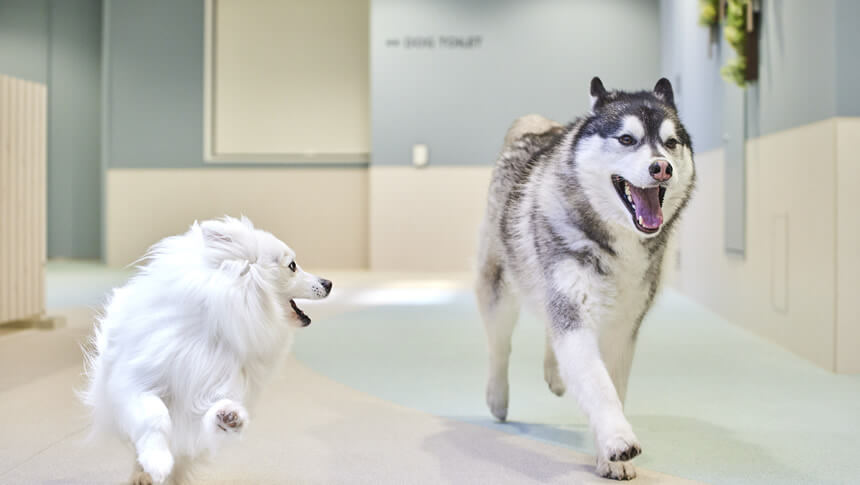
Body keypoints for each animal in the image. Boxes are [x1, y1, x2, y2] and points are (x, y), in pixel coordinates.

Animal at [80, 216, 330, 484]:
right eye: (292, 266)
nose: (329, 282)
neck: (219, 328)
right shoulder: (137, 383)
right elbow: (155, 417)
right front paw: (157, 461)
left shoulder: (211, 389)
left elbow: (211, 412)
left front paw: (229, 416)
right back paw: (143, 473)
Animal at [474, 77, 696, 478]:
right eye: (626, 139)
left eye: (671, 143)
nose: (662, 168)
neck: (616, 241)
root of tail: (540, 127)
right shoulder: (574, 313)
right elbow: (597, 383)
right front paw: (618, 440)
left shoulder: (622, 329)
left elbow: (612, 385)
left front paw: (608, 457)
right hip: (498, 285)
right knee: (499, 345)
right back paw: (497, 396)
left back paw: (554, 372)